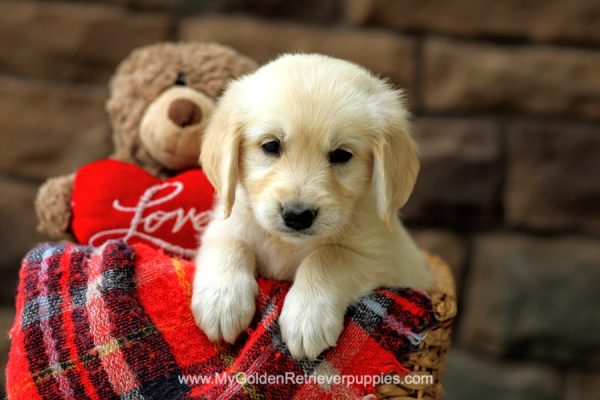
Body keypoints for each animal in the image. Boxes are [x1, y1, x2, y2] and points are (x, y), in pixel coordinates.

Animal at [192, 54, 432, 360]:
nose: (297, 216)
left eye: (341, 155)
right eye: (271, 146)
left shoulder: (388, 260)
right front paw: (221, 301)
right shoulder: (225, 223)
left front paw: (307, 318)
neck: (288, 245)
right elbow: (232, 243)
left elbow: (328, 255)